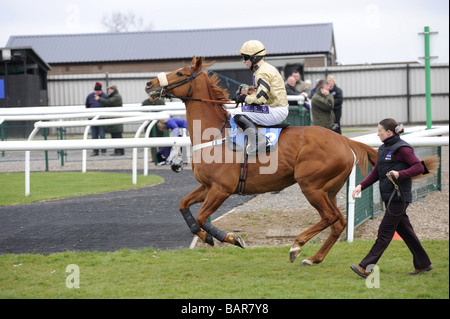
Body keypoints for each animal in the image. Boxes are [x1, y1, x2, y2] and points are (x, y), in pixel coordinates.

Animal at [145, 57, 376, 264]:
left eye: (180, 73)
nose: (149, 84)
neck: (215, 136)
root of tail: (344, 140)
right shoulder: (207, 186)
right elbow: (183, 205)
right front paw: (205, 237)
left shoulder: (221, 189)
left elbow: (202, 217)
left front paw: (231, 238)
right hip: (329, 189)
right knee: (338, 221)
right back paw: (314, 258)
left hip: (311, 186)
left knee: (329, 217)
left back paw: (297, 245)